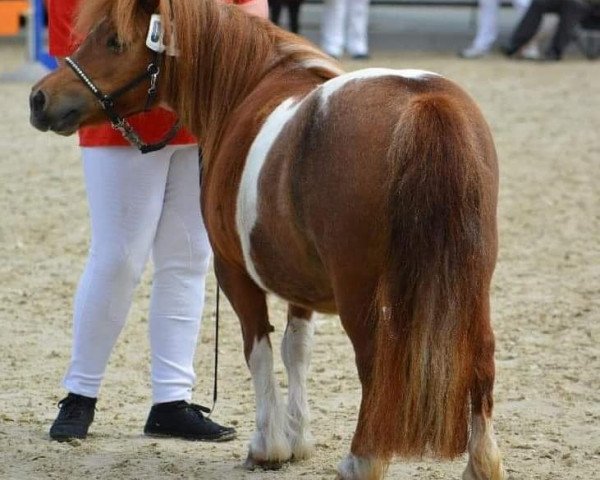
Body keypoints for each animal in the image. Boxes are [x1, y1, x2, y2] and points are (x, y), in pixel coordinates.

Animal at [29, 0, 506, 480]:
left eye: (115, 41)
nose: (40, 98)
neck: (245, 88)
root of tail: (423, 102)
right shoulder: (301, 283)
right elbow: (297, 349)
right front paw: (298, 438)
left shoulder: (233, 272)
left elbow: (258, 349)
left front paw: (268, 446)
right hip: (473, 281)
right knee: (481, 357)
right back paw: (482, 462)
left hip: (360, 291)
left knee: (376, 364)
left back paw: (361, 460)